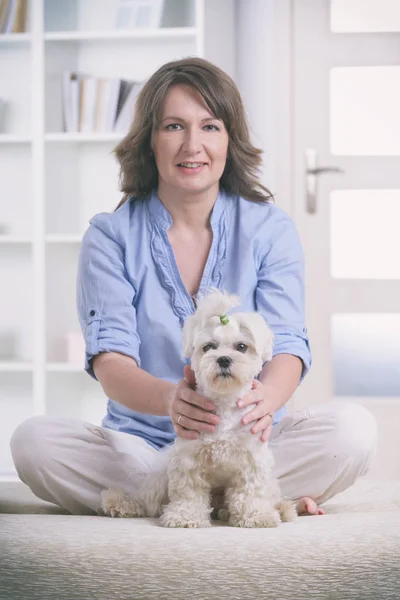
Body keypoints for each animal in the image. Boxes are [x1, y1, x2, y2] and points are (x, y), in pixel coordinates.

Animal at [101, 290, 296, 528]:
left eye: (241, 347)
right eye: (209, 347)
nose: (223, 359)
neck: (224, 403)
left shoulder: (252, 458)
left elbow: (250, 492)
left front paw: (256, 515)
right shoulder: (189, 459)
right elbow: (189, 492)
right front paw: (185, 516)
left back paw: (281, 509)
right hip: (160, 476)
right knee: (148, 503)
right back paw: (122, 504)